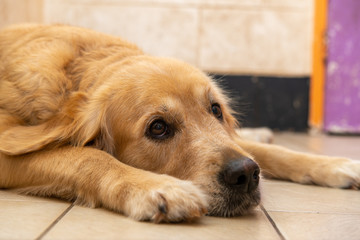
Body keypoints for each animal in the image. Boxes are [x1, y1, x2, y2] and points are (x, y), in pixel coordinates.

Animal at [0, 24, 358, 223]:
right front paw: (156, 187)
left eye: (215, 110)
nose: (245, 174)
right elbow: (87, 156)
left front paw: (338, 164)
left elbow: (276, 153)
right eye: (158, 127)